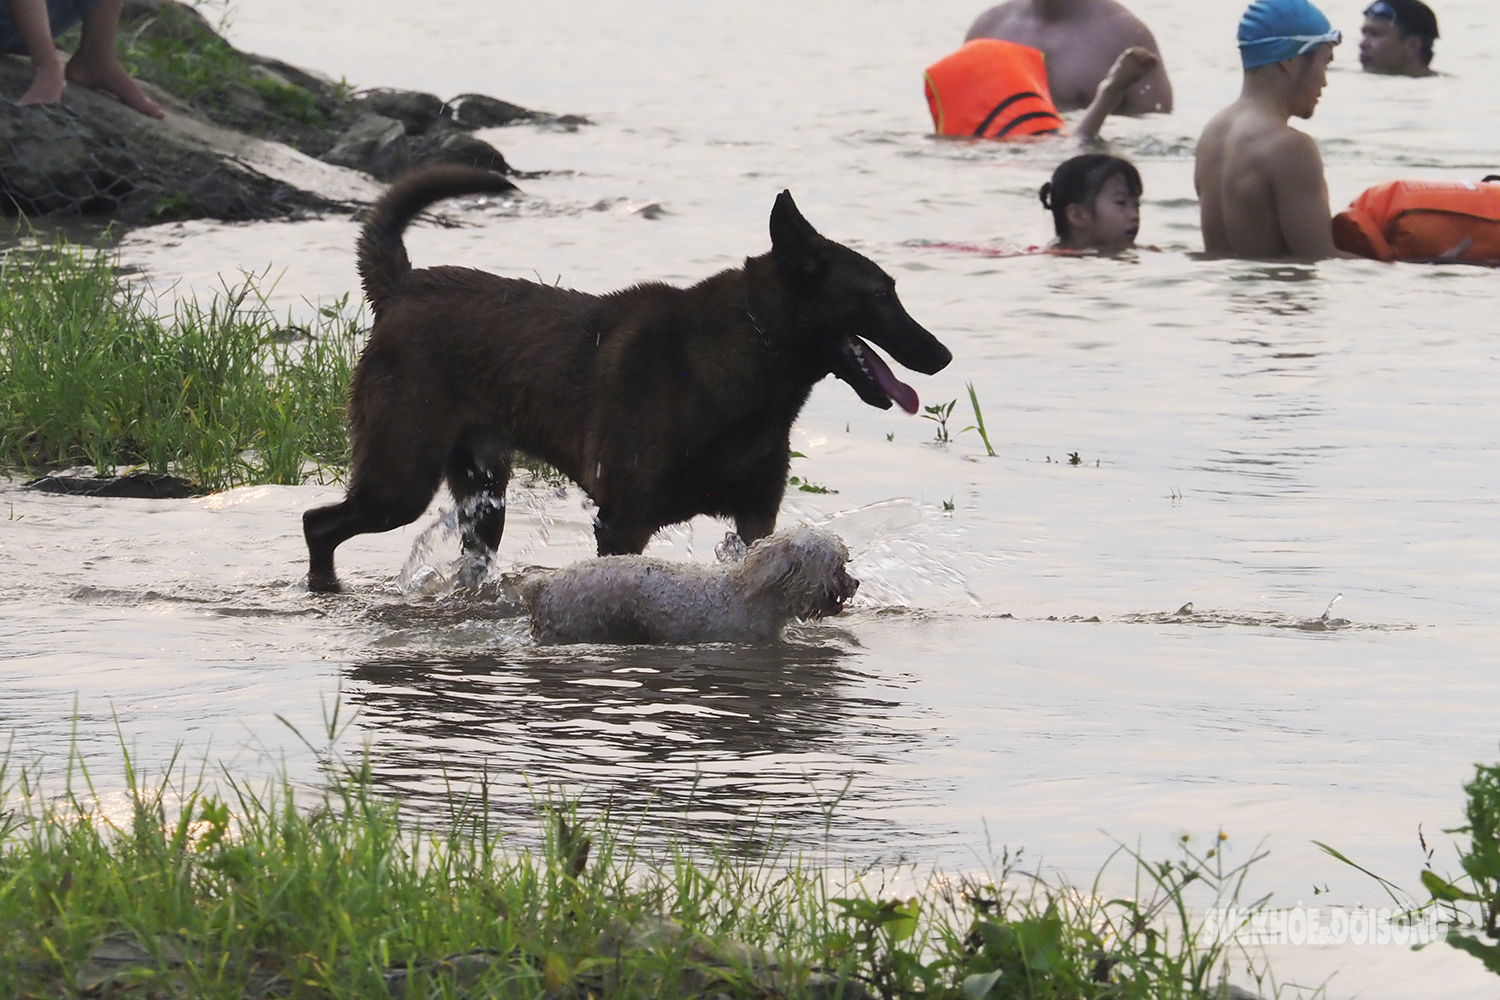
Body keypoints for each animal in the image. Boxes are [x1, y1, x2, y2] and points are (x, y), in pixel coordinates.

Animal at [304, 167, 948, 590]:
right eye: (882, 295)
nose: (941, 355)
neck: (757, 355)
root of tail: (401, 288)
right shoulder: (624, 522)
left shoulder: (755, 518)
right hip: (401, 482)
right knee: (318, 524)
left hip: (482, 495)